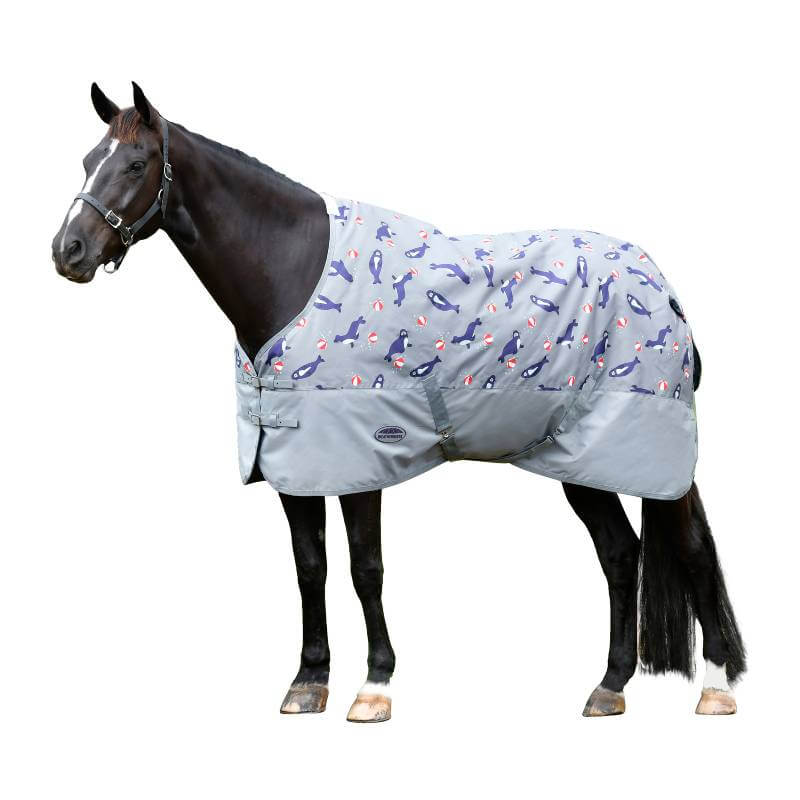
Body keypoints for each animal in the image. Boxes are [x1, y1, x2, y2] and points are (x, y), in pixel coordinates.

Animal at [51, 83, 745, 721]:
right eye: (88, 160)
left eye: (136, 163)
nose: (68, 252)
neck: (293, 273)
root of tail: (664, 289)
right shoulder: (294, 460)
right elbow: (310, 566)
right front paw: (309, 680)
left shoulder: (359, 457)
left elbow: (366, 568)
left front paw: (374, 685)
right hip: (582, 459)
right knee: (620, 555)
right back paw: (610, 686)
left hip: (652, 456)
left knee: (692, 551)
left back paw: (715, 687)